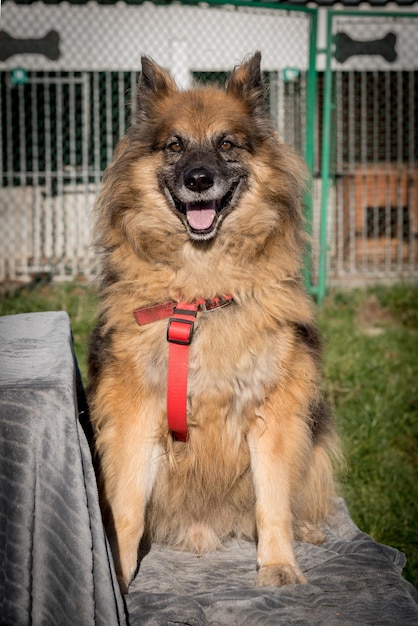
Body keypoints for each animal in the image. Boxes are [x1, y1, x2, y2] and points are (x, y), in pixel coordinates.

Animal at [89, 52, 340, 588]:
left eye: (227, 144)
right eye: (174, 145)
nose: (199, 181)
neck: (201, 297)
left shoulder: (274, 412)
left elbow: (273, 500)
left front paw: (278, 564)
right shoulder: (134, 412)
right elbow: (126, 506)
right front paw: (120, 576)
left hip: (316, 429)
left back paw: (308, 530)